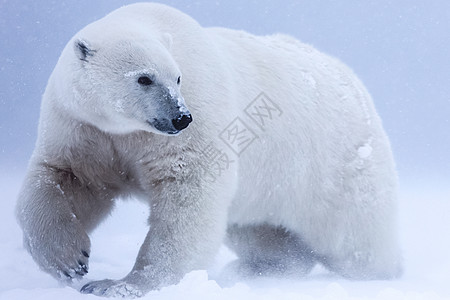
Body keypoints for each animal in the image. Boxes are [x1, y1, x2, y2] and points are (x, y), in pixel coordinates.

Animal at [14, 1, 400, 298]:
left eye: (177, 77)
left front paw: (117, 285)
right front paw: (70, 261)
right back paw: (259, 266)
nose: (181, 117)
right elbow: (67, 179)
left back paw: (380, 271)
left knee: (355, 236)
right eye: (143, 78)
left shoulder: (195, 118)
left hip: (336, 166)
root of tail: (352, 82)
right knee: (260, 231)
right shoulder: (84, 128)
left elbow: (187, 199)